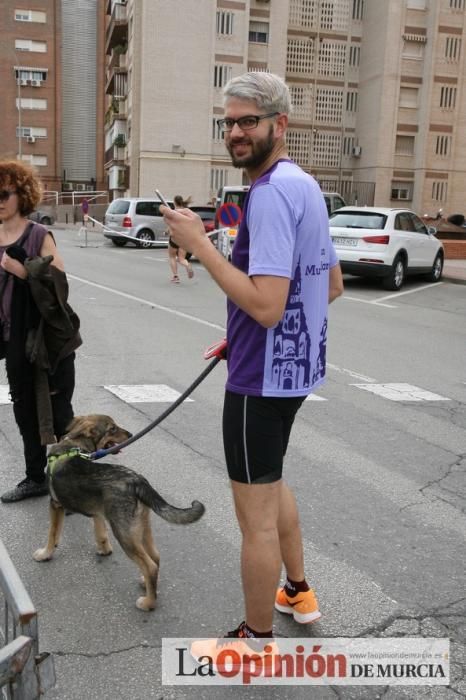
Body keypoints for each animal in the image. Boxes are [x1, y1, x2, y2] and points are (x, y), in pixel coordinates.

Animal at [33, 416, 205, 608]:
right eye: (112, 429)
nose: (130, 435)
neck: (74, 445)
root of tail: (137, 480)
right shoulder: (97, 512)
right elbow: (100, 532)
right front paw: (104, 550)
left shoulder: (55, 505)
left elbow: (52, 534)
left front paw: (45, 554)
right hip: (141, 528)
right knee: (155, 557)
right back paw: (146, 584)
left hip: (124, 533)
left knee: (150, 566)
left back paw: (148, 603)